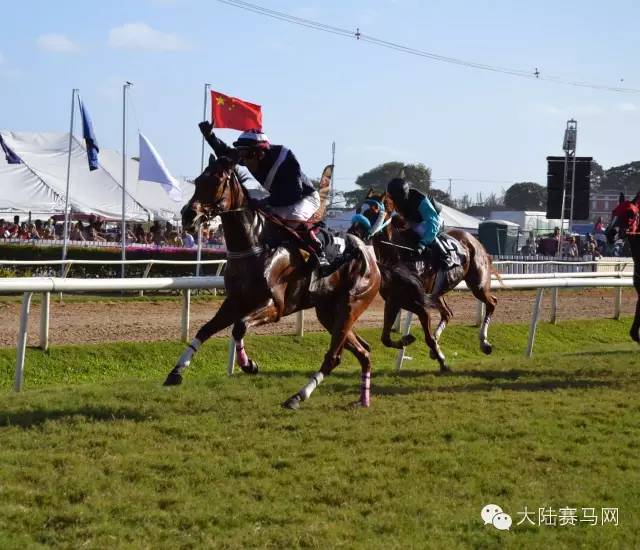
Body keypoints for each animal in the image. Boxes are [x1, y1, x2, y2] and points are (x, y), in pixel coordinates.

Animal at [163, 156, 381, 409]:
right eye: (198, 181)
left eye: (216, 181)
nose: (188, 215)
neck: (255, 244)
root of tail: (369, 253)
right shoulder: (234, 301)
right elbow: (205, 329)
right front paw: (176, 372)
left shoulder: (275, 306)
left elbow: (239, 327)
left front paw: (249, 365)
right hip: (328, 313)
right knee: (363, 351)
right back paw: (363, 400)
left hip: (351, 306)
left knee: (333, 357)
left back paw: (297, 397)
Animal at [349, 190, 498, 372]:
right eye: (358, 209)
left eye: (374, 211)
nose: (353, 233)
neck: (400, 255)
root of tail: (473, 239)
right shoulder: (394, 300)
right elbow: (385, 338)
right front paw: (408, 341)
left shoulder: (419, 304)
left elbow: (427, 338)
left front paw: (443, 363)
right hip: (437, 293)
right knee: (447, 313)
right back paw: (437, 349)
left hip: (478, 284)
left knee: (492, 303)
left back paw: (484, 343)